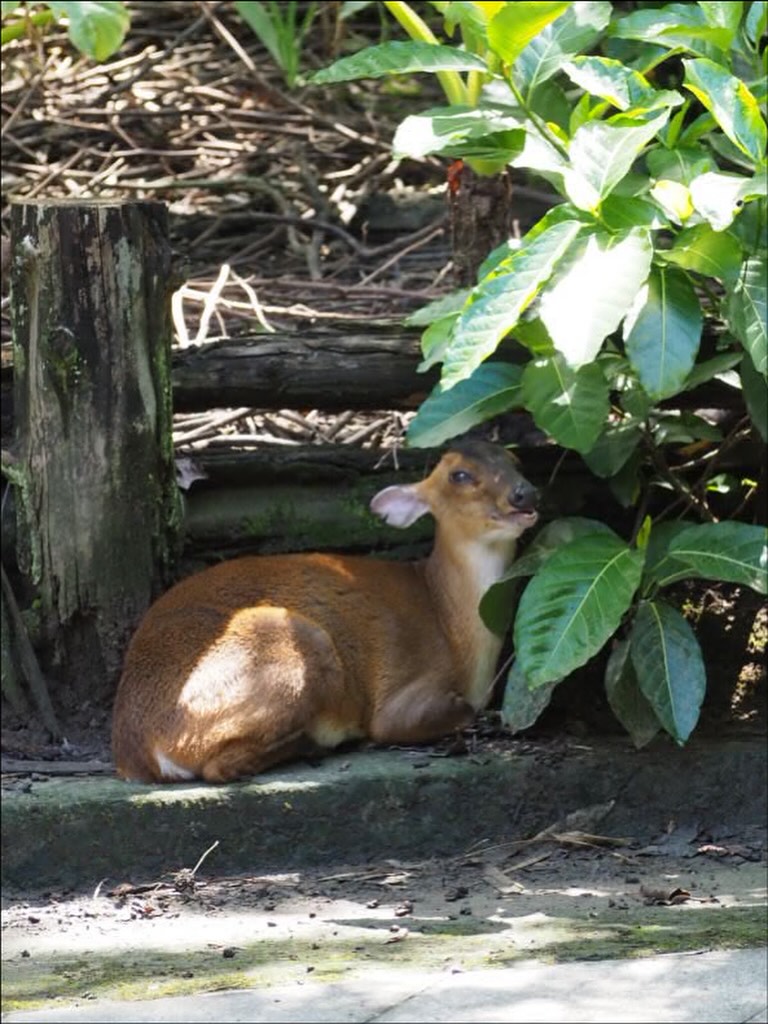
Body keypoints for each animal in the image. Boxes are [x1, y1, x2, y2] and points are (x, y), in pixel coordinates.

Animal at [111, 440, 539, 784]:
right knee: (220, 766)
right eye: (459, 474)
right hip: (295, 642)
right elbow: (455, 713)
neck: (449, 622)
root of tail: (143, 749)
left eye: (515, 459)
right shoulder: (401, 695)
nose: (525, 493)